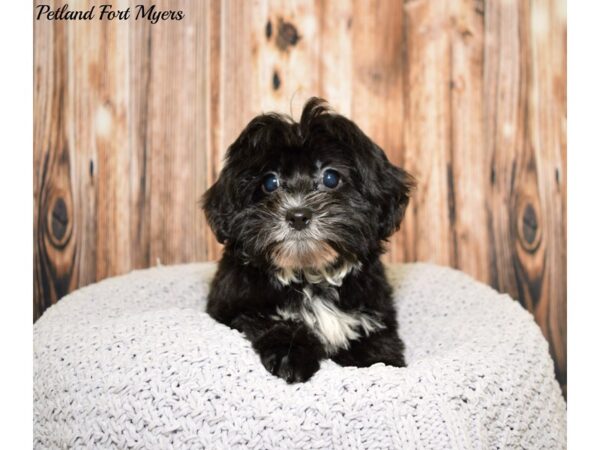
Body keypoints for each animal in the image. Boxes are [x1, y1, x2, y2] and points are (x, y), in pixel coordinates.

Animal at [204, 98, 414, 384]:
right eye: (270, 182)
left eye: (330, 178)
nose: (298, 216)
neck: (310, 277)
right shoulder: (234, 308)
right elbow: (270, 321)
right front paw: (290, 356)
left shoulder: (373, 314)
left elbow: (377, 342)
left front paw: (381, 362)